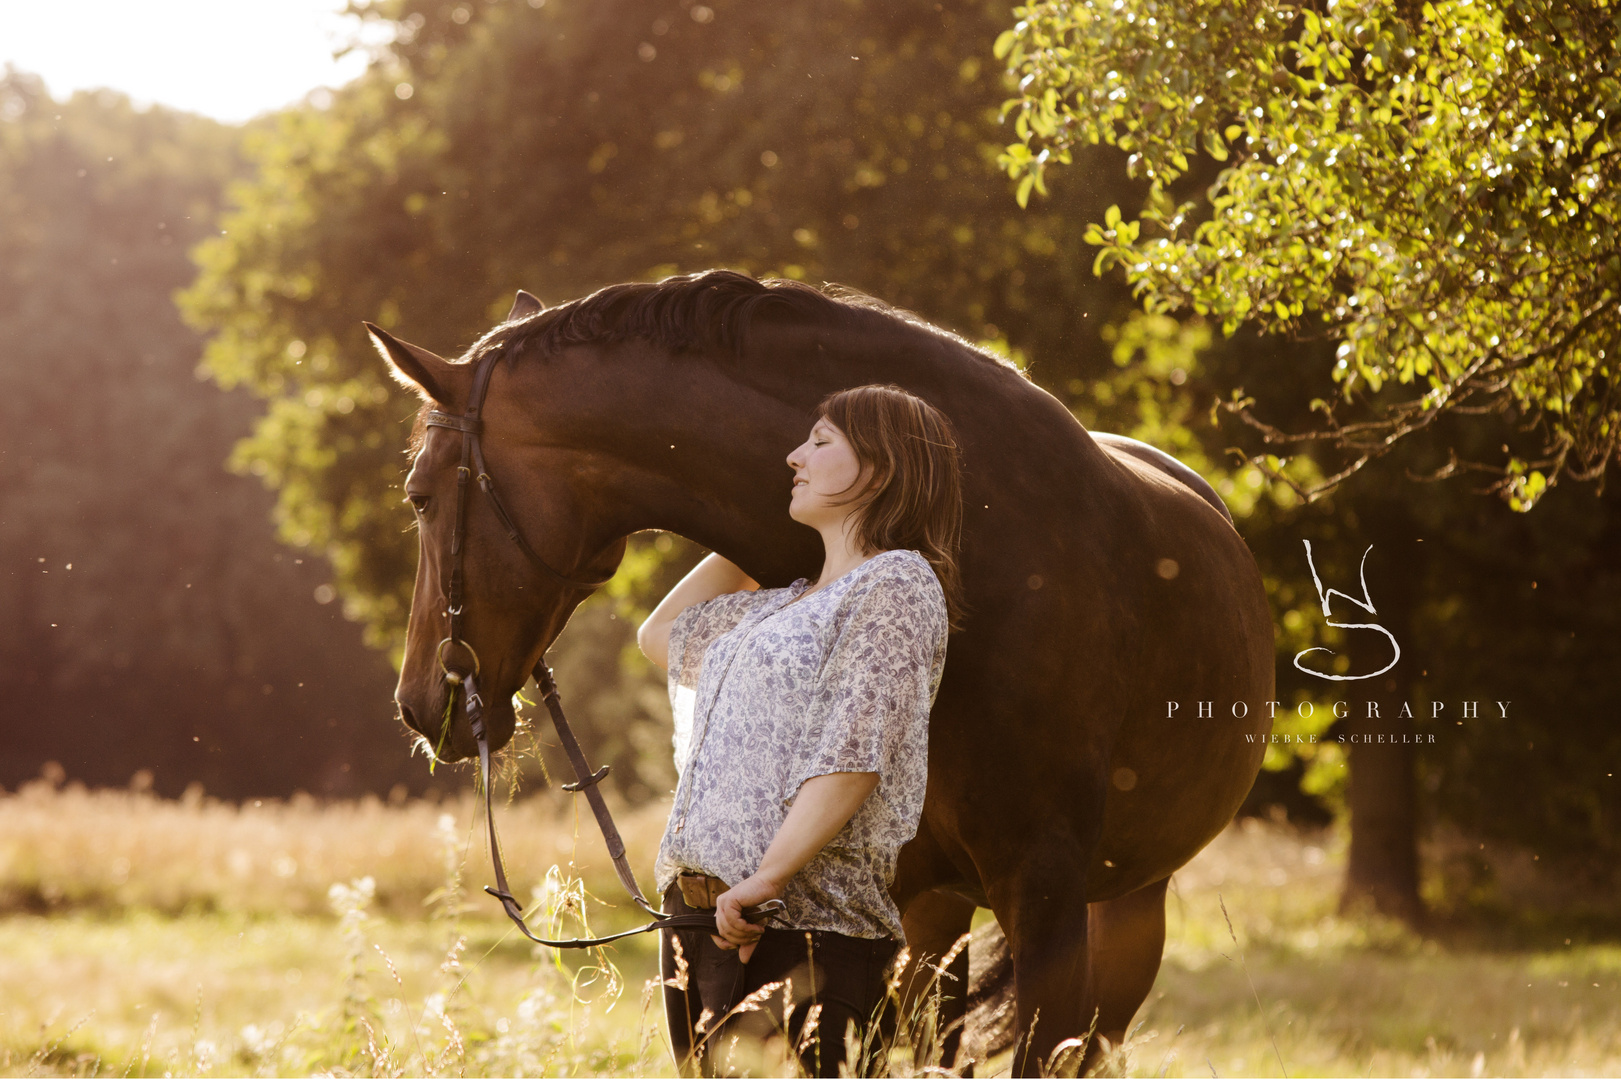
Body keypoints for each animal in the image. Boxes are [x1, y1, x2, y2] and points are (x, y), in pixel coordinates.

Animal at [372, 270, 1270, 1070]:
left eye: (418, 496)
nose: (417, 705)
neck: (989, 555)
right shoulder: (873, 923)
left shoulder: (1046, 903)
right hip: (935, 921)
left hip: (1123, 910)